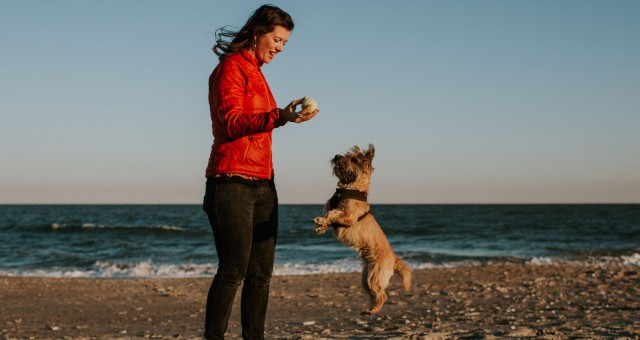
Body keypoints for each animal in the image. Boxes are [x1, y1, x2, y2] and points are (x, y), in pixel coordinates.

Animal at [314, 144, 412, 316]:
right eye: (347, 154)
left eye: (353, 159)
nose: (337, 156)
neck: (350, 188)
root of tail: (394, 260)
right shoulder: (331, 207)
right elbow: (328, 214)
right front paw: (321, 226)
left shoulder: (349, 217)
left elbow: (333, 214)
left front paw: (321, 221)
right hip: (366, 278)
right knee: (375, 295)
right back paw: (370, 309)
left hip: (375, 276)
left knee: (383, 295)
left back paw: (373, 311)